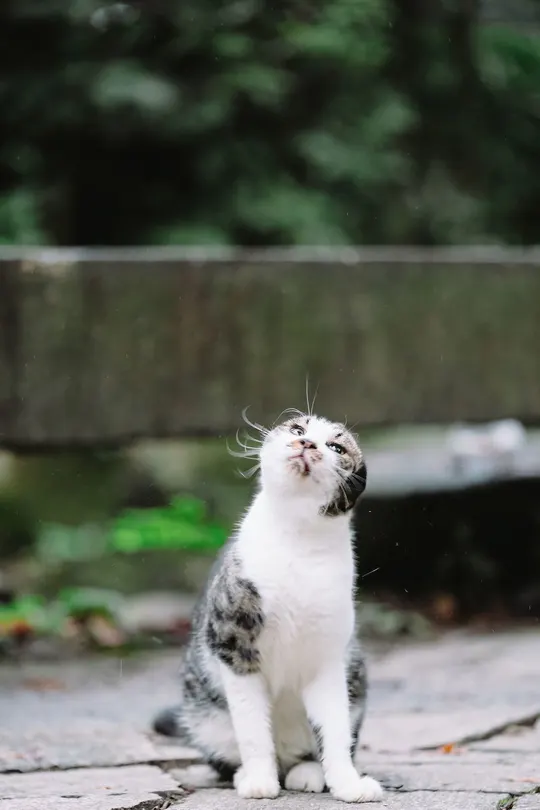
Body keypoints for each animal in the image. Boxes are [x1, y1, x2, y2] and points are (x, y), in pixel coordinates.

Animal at [153, 410, 383, 803]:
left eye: (336, 447)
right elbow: (253, 731)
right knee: (227, 754)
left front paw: (349, 784)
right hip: (205, 719)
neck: (296, 539)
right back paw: (249, 773)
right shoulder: (235, 647)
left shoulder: (327, 658)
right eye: (298, 429)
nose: (307, 443)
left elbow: (335, 731)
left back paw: (306, 771)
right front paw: (260, 781)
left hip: (355, 681)